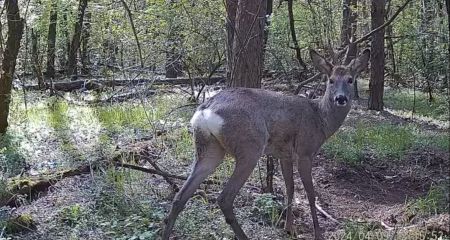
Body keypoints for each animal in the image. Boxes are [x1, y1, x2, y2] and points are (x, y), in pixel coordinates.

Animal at [162, 48, 370, 240]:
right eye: (331, 80)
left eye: (350, 79)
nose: (341, 98)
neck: (320, 119)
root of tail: (205, 111)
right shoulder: (305, 151)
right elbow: (310, 193)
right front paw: (318, 233)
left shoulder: (285, 154)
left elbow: (290, 188)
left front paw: (289, 228)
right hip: (250, 147)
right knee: (224, 198)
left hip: (209, 148)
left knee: (180, 197)